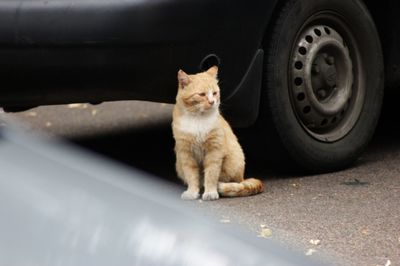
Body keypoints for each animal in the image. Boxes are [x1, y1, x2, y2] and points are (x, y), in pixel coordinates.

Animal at [171, 66, 262, 200]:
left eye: (214, 93)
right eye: (202, 94)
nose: (212, 101)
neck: (198, 119)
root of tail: (243, 178)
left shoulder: (214, 151)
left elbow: (211, 174)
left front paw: (210, 192)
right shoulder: (186, 153)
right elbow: (191, 175)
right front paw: (192, 192)